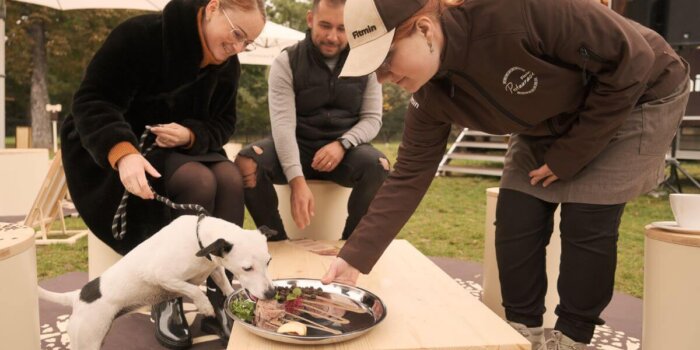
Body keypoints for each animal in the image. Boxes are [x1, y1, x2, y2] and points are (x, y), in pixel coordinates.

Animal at [37, 216, 274, 350]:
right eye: (247, 268)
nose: (271, 293)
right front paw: (205, 306)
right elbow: (192, 289)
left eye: (269, 261)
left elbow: (224, 285)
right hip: (86, 340)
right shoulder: (163, 276)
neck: (197, 239)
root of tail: (77, 296)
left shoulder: (214, 268)